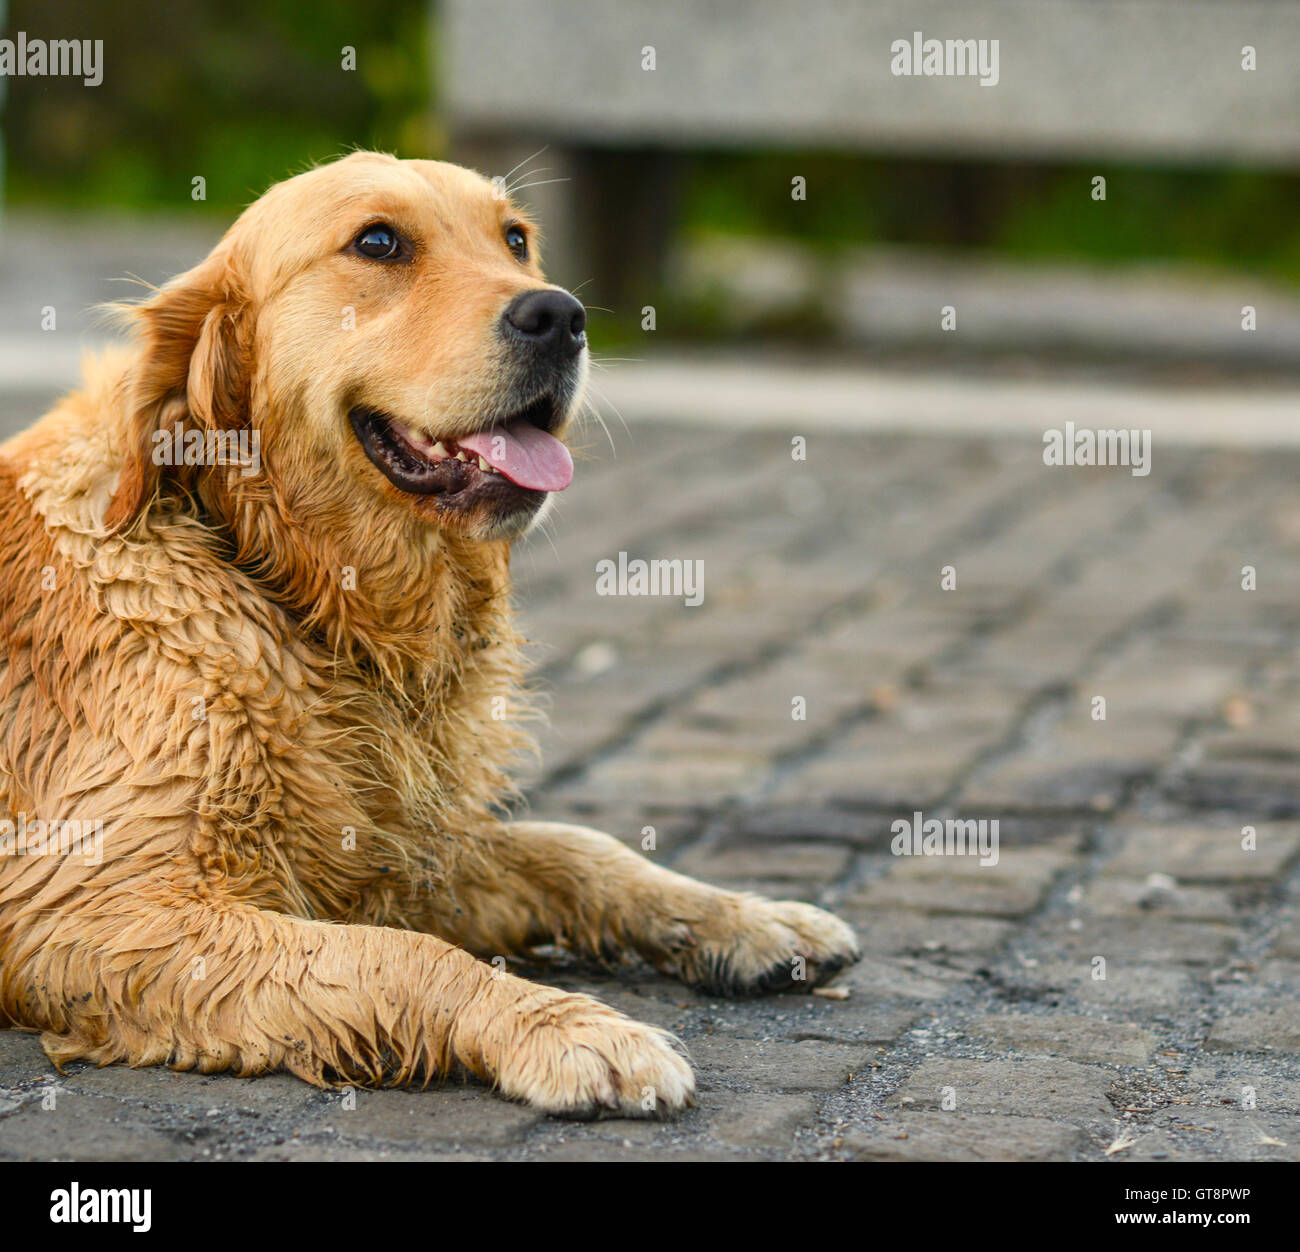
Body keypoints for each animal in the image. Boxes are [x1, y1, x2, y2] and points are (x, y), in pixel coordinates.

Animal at [2, 149, 863, 1118]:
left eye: (517, 240)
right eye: (378, 242)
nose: (559, 315)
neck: (288, 590)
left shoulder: (396, 848)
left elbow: (575, 849)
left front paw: (750, 917)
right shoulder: (90, 909)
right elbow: (405, 956)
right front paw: (567, 1027)